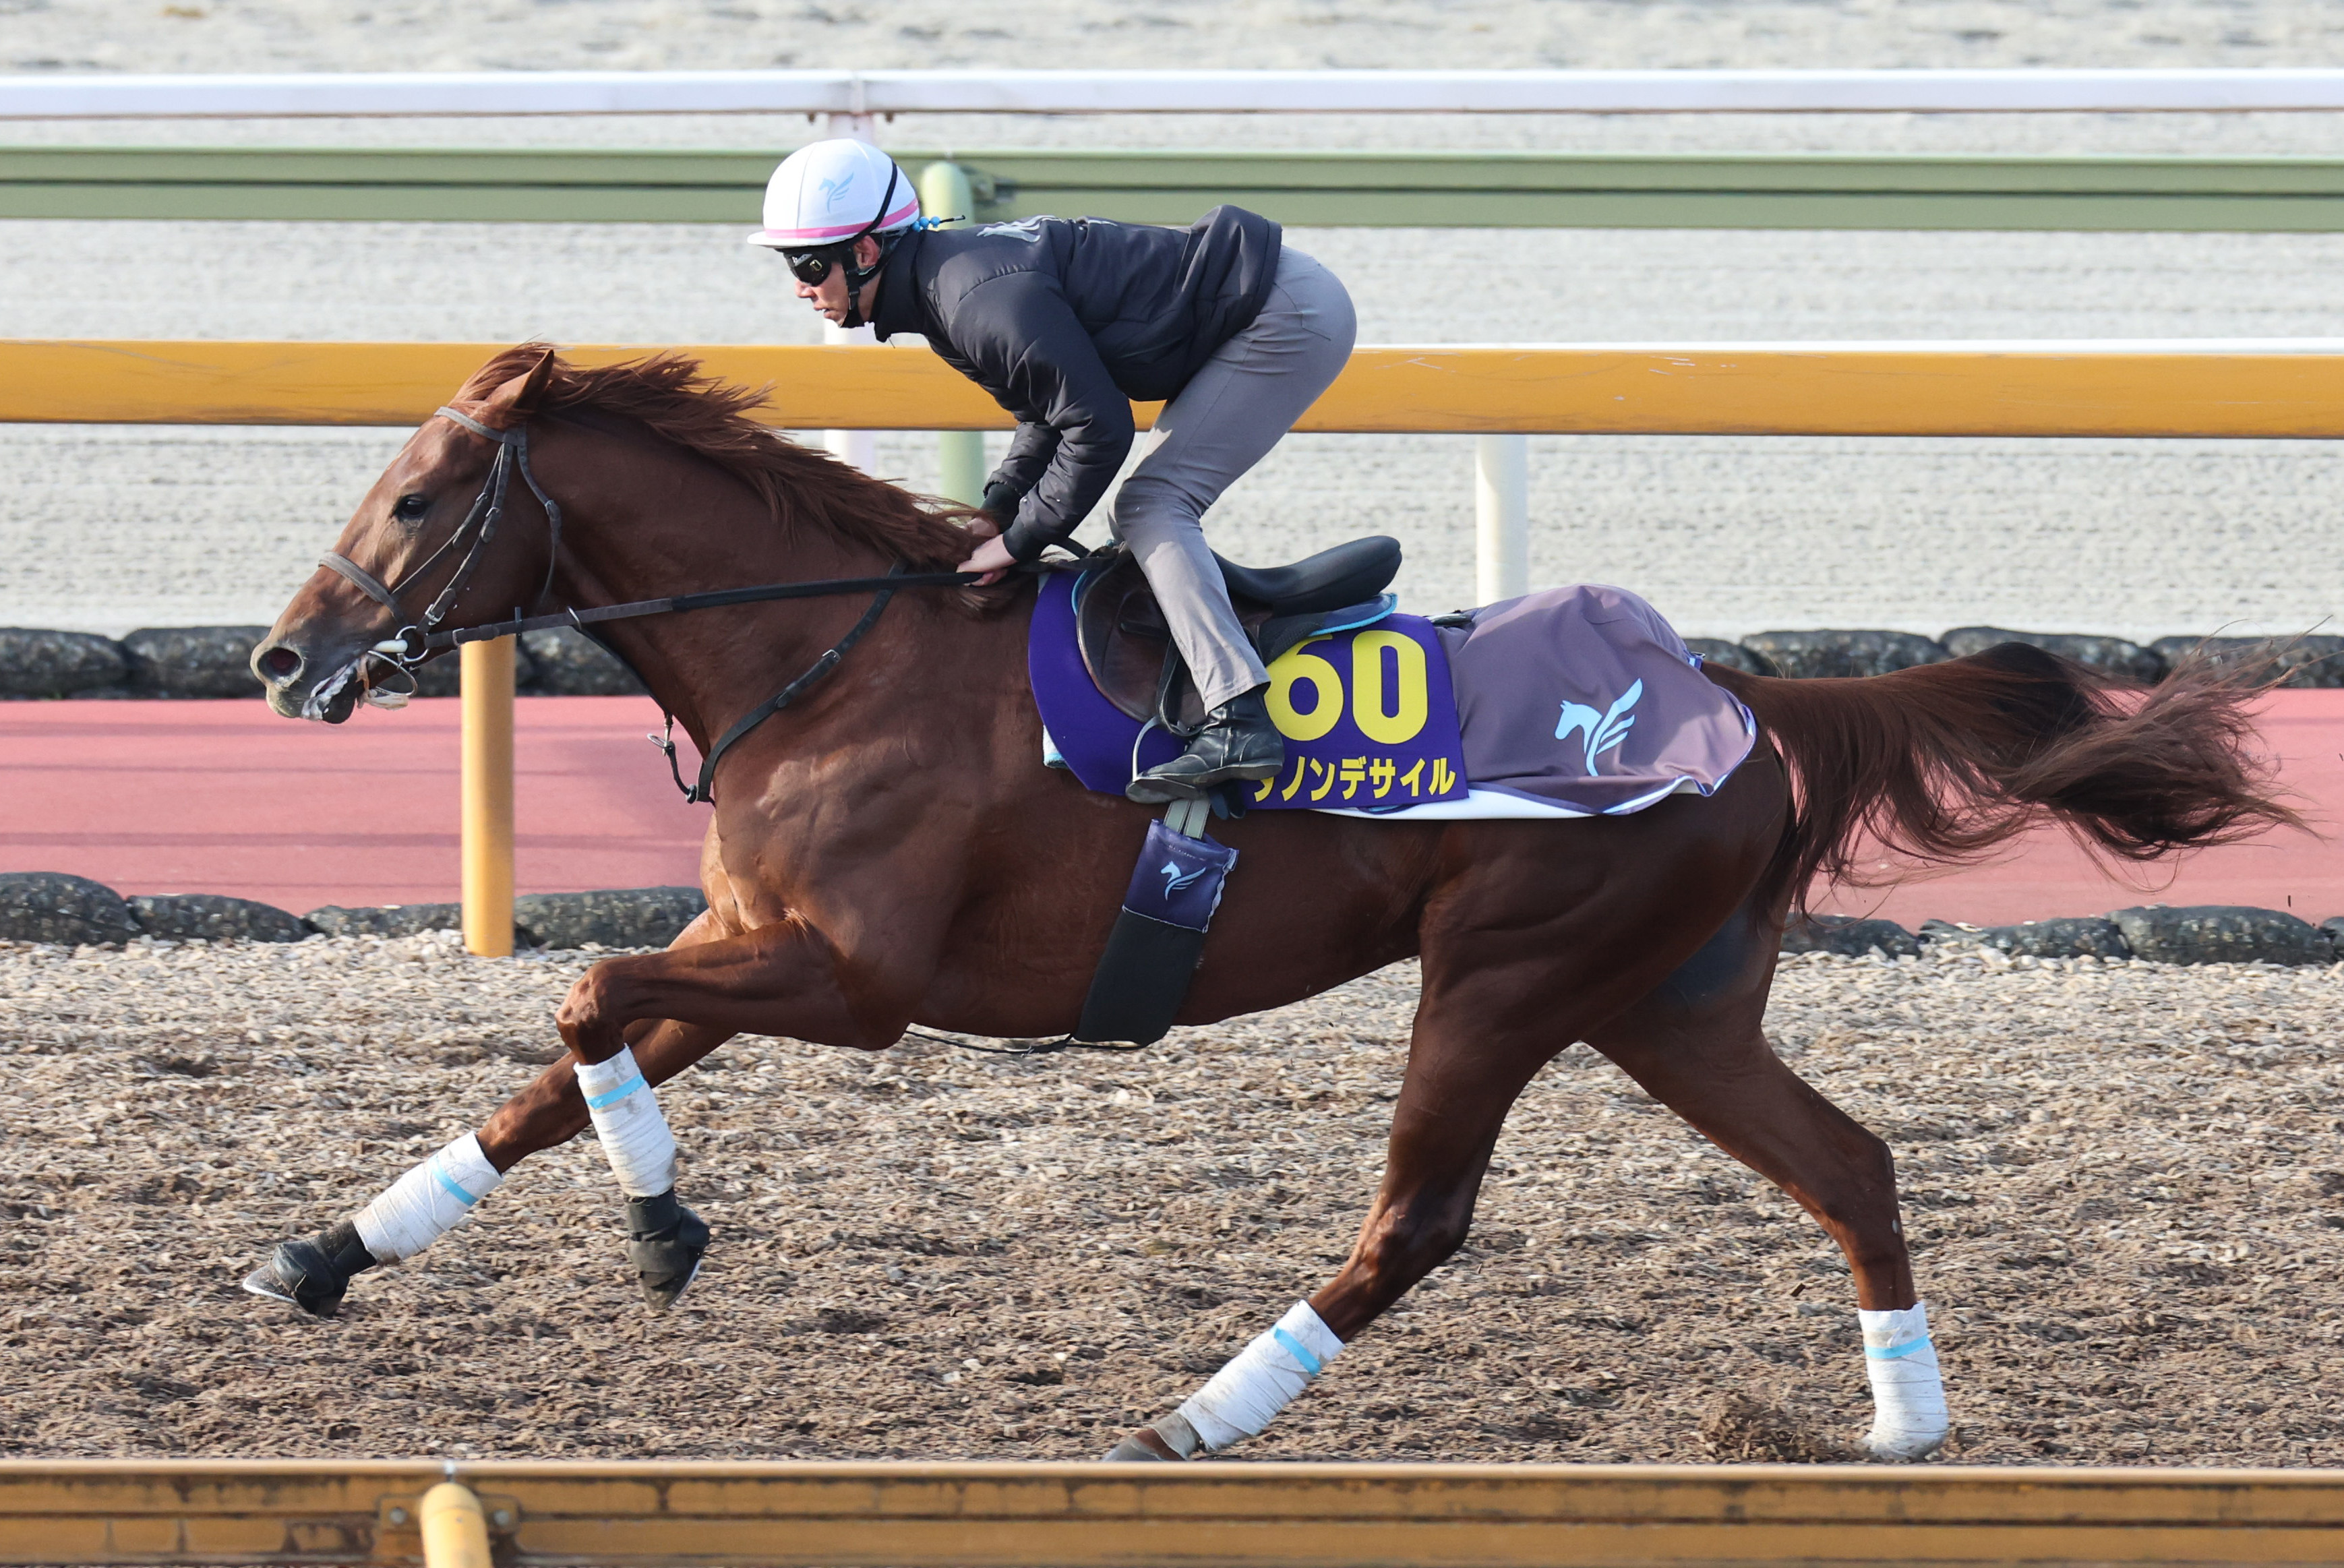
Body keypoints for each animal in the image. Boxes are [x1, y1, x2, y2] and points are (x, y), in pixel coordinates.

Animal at [247, 343, 2292, 1462]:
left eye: (417, 495)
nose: (279, 659)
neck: (830, 657)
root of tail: (1741, 697)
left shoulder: (853, 973)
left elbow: (584, 998)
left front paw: (664, 1227)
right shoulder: (753, 942)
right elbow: (559, 1059)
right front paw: (330, 1250)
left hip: (1506, 976)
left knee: (1415, 1220)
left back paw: (1197, 1412)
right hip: (1666, 999)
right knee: (1850, 1164)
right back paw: (1896, 1425)